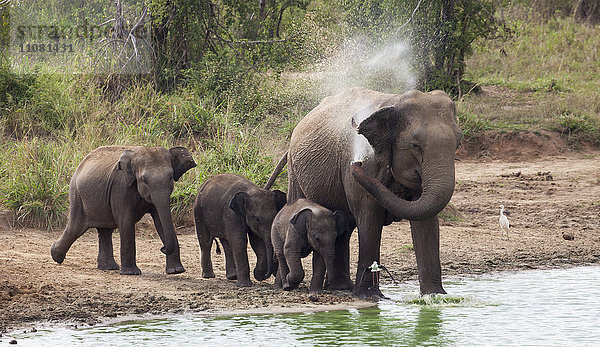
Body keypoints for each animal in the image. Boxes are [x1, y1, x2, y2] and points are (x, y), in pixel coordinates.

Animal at [51, 145, 197, 276]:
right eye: (144, 180)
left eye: (170, 177)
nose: (163, 248)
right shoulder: (121, 188)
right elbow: (126, 222)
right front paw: (131, 273)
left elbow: (161, 221)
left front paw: (176, 271)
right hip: (77, 196)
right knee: (75, 228)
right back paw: (55, 255)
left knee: (105, 230)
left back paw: (109, 267)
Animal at [264, 87, 462, 300]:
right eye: (415, 145)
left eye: (458, 144)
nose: (355, 163)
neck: (394, 103)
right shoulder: (367, 168)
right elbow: (369, 217)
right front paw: (369, 297)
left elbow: (426, 220)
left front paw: (435, 297)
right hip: (295, 170)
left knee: (343, 227)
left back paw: (340, 287)